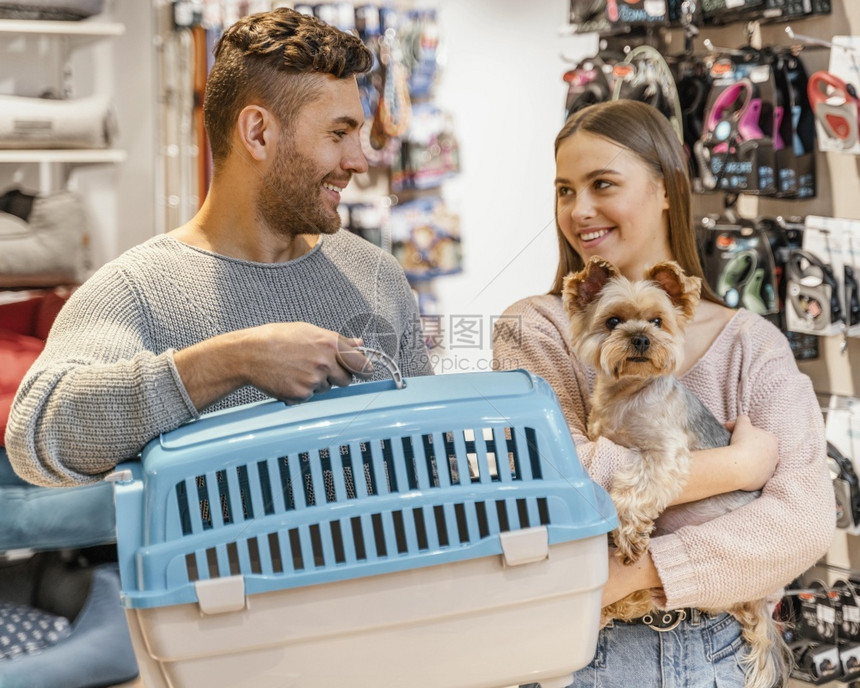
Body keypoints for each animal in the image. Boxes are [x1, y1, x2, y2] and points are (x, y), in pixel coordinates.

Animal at [560, 255, 788, 688]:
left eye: (657, 321)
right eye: (613, 321)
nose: (640, 339)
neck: (627, 393)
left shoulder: (664, 451)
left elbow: (633, 487)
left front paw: (629, 534)